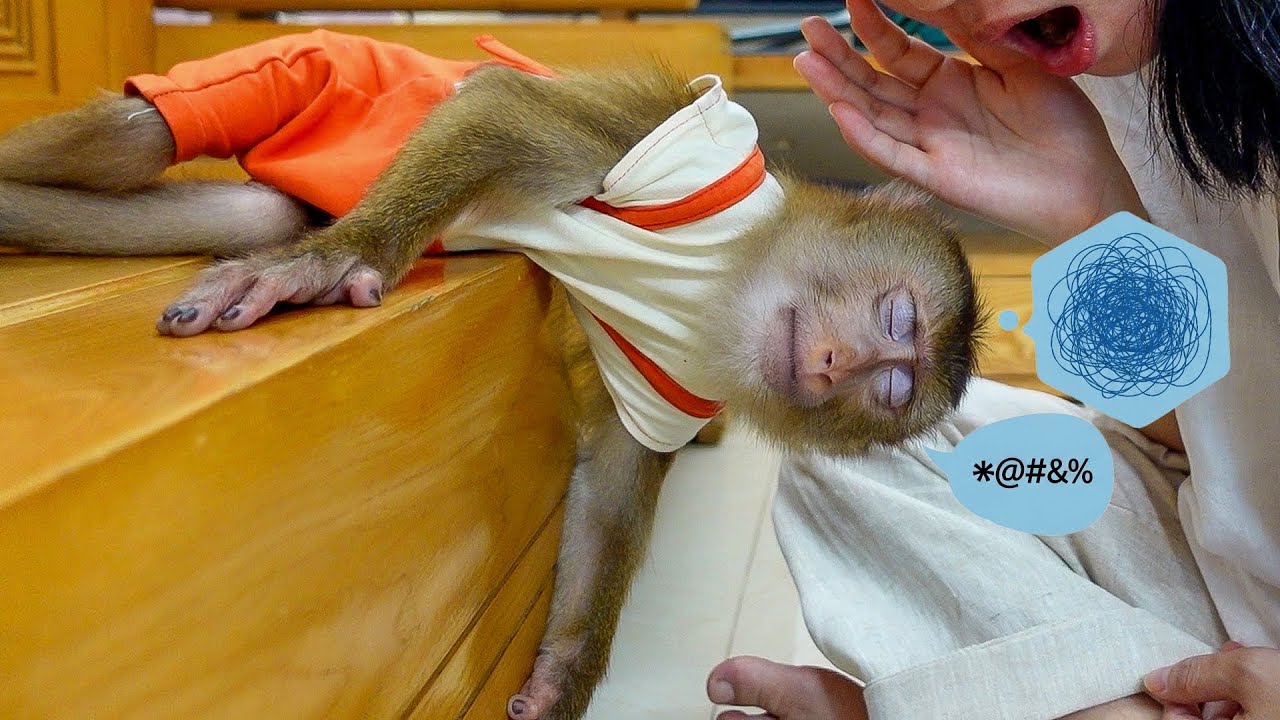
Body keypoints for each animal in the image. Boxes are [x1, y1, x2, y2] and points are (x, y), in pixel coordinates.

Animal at [0, 31, 983, 720]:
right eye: (894, 320)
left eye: (893, 386)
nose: (834, 363)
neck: (721, 284)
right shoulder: (688, 150)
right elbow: (504, 103)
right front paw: (341, 258)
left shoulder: (677, 387)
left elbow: (611, 486)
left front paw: (562, 676)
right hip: (318, 66)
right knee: (128, 139)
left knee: (242, 208)